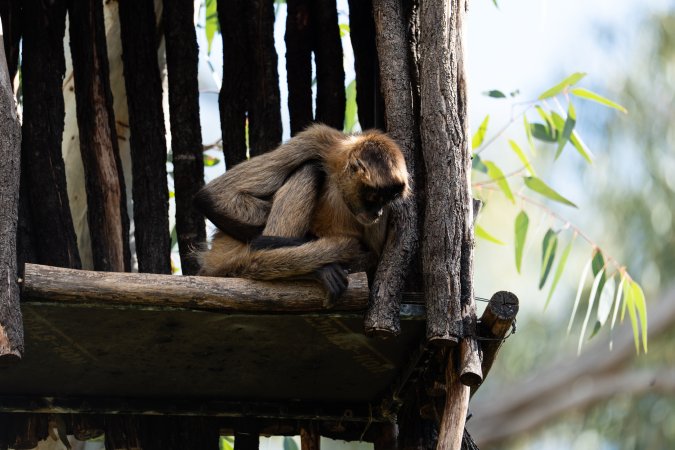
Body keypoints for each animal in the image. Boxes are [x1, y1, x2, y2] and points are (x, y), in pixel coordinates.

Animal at [193, 123, 410, 301]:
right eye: (374, 197)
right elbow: (215, 195)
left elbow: (373, 256)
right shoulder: (317, 139)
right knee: (311, 168)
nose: (378, 213)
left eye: (387, 200)